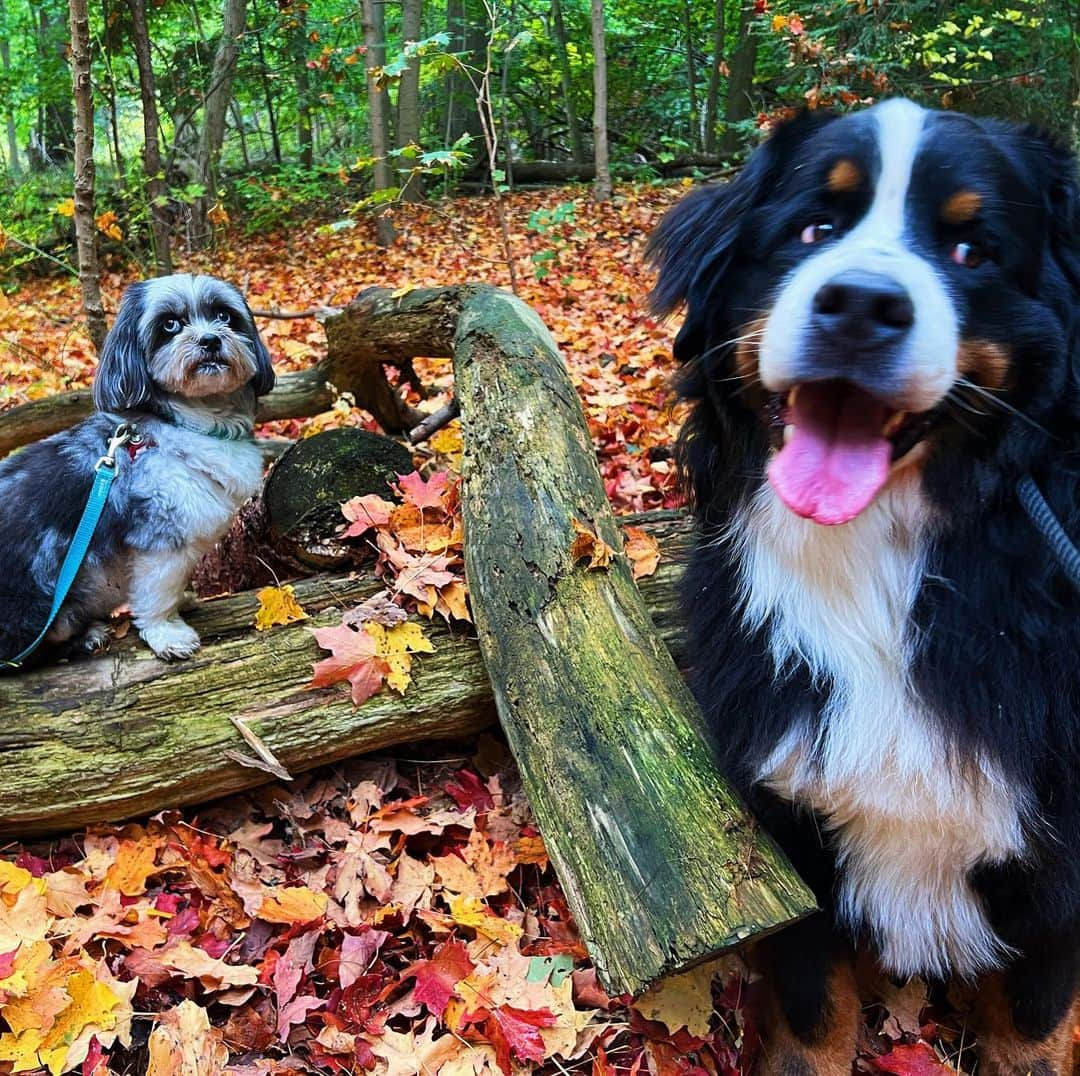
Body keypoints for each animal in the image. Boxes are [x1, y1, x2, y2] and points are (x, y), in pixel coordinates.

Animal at [0, 275, 274, 665]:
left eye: (224, 315)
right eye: (170, 324)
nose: (210, 340)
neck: (190, 420)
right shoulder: (161, 540)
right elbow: (159, 593)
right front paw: (167, 633)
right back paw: (86, 636)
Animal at [648, 101, 1080, 1076]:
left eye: (972, 250)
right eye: (815, 227)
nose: (860, 306)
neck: (879, 566)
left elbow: (1034, 1020)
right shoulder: (791, 815)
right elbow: (816, 1010)